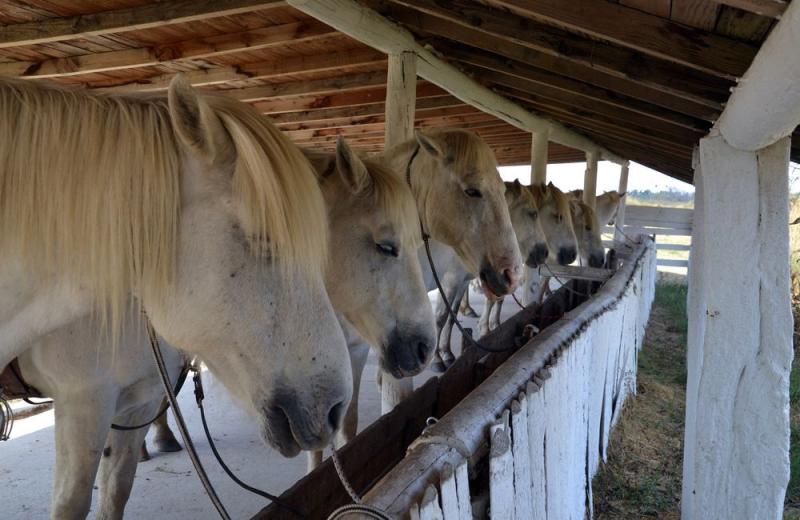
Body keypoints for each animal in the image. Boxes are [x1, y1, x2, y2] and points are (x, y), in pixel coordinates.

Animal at [0, 76, 354, 516]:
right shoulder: (84, 403)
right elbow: (72, 503)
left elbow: (116, 490)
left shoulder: (138, 399)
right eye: (265, 241)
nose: (335, 409)